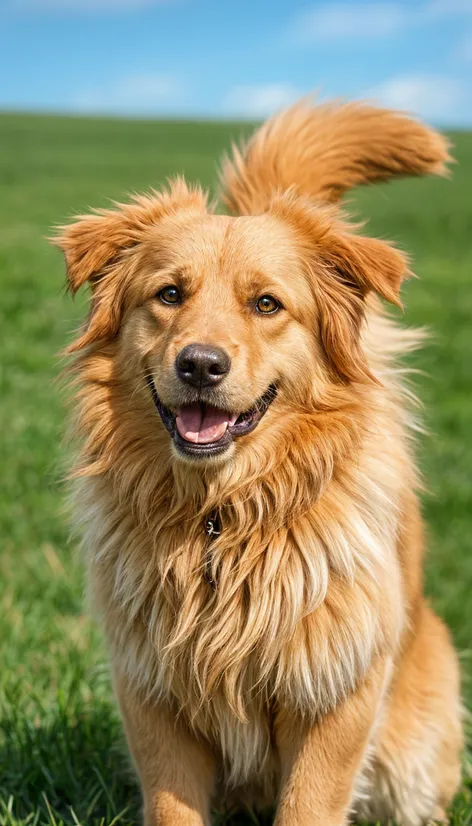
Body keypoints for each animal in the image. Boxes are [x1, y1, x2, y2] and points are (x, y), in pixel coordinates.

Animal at [54, 100, 460, 820]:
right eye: (169, 294)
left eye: (266, 303)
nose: (200, 364)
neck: (223, 515)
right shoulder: (152, 691)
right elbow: (172, 806)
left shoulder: (336, 688)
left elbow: (309, 805)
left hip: (411, 752)